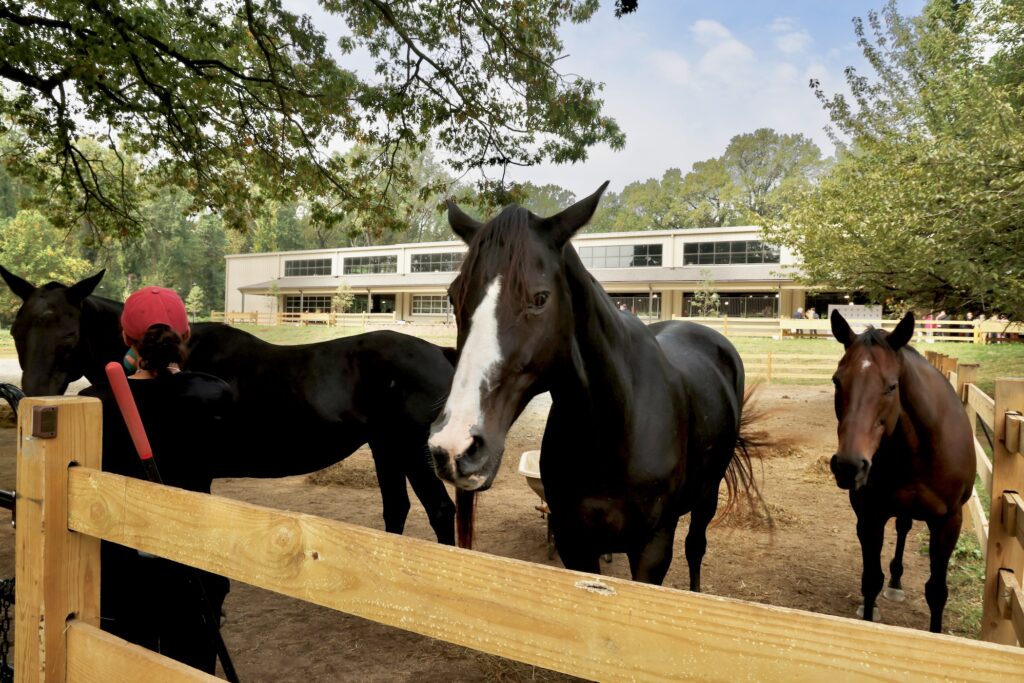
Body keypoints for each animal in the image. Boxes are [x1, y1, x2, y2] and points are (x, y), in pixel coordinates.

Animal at [0, 265, 458, 545]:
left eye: (69, 336)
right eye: (17, 331)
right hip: (385, 447)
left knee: (440, 510)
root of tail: (441, 352)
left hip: (411, 450)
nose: (31, 399)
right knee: (397, 508)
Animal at [426, 183, 760, 586]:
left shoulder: (653, 547)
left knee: (696, 549)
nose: (455, 447)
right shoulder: (574, 543)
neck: (615, 427)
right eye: (453, 296)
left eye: (539, 298)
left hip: (706, 496)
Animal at [829, 310, 975, 633]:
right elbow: (871, 579)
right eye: (836, 381)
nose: (849, 465)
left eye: (892, 386)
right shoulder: (871, 513)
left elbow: (937, 591)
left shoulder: (950, 521)